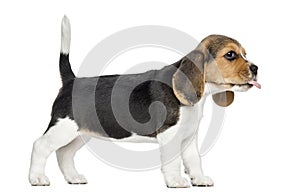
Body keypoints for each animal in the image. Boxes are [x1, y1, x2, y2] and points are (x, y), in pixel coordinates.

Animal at [28, 16, 260, 188]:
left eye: (244, 54)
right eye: (230, 55)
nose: (256, 68)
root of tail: (71, 81)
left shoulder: (188, 137)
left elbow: (194, 160)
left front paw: (199, 179)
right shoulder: (170, 135)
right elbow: (173, 161)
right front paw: (176, 181)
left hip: (81, 132)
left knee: (63, 153)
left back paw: (73, 177)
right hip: (63, 127)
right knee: (40, 145)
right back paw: (37, 178)